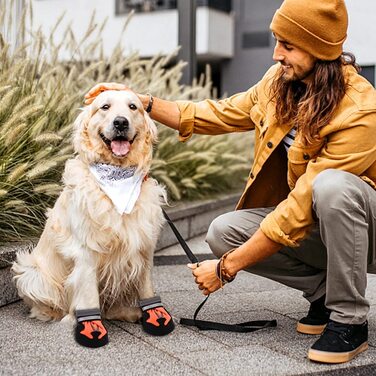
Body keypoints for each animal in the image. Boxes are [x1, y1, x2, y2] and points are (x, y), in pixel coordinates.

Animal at [11, 90, 170, 344]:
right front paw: (89, 327)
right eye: (104, 107)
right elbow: (88, 295)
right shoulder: (86, 250)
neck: (117, 176)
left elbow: (146, 287)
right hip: (31, 273)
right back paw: (62, 316)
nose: (120, 122)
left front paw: (155, 315)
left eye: (133, 107)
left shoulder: (143, 246)